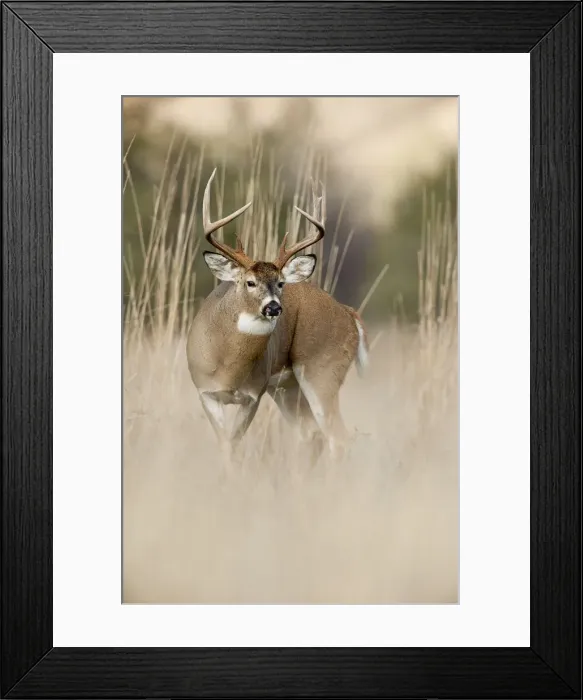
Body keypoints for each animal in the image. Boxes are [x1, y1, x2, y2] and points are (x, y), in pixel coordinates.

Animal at [186, 169, 369, 465]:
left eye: (281, 283)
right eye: (249, 282)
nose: (273, 308)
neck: (227, 365)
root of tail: (349, 313)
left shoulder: (254, 394)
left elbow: (232, 446)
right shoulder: (205, 391)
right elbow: (225, 447)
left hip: (322, 370)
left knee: (338, 436)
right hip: (288, 388)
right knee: (312, 433)